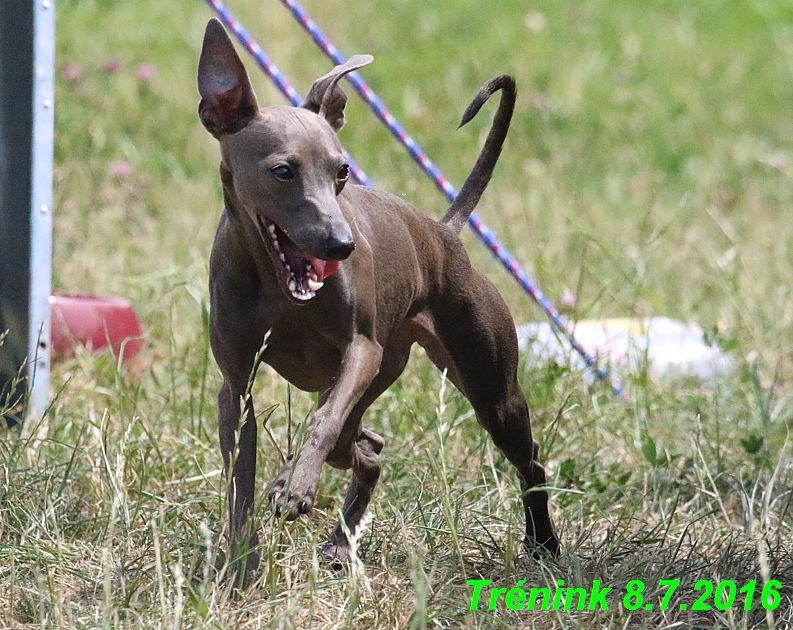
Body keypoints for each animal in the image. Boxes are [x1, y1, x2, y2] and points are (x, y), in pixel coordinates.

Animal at [197, 17, 556, 580]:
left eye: (342, 170)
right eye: (283, 171)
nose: (341, 246)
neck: (279, 287)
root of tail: (442, 232)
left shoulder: (361, 351)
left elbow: (321, 424)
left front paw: (295, 487)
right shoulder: (237, 387)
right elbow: (240, 480)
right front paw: (240, 568)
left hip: (486, 387)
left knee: (527, 456)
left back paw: (543, 543)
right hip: (383, 377)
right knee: (369, 449)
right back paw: (341, 543)